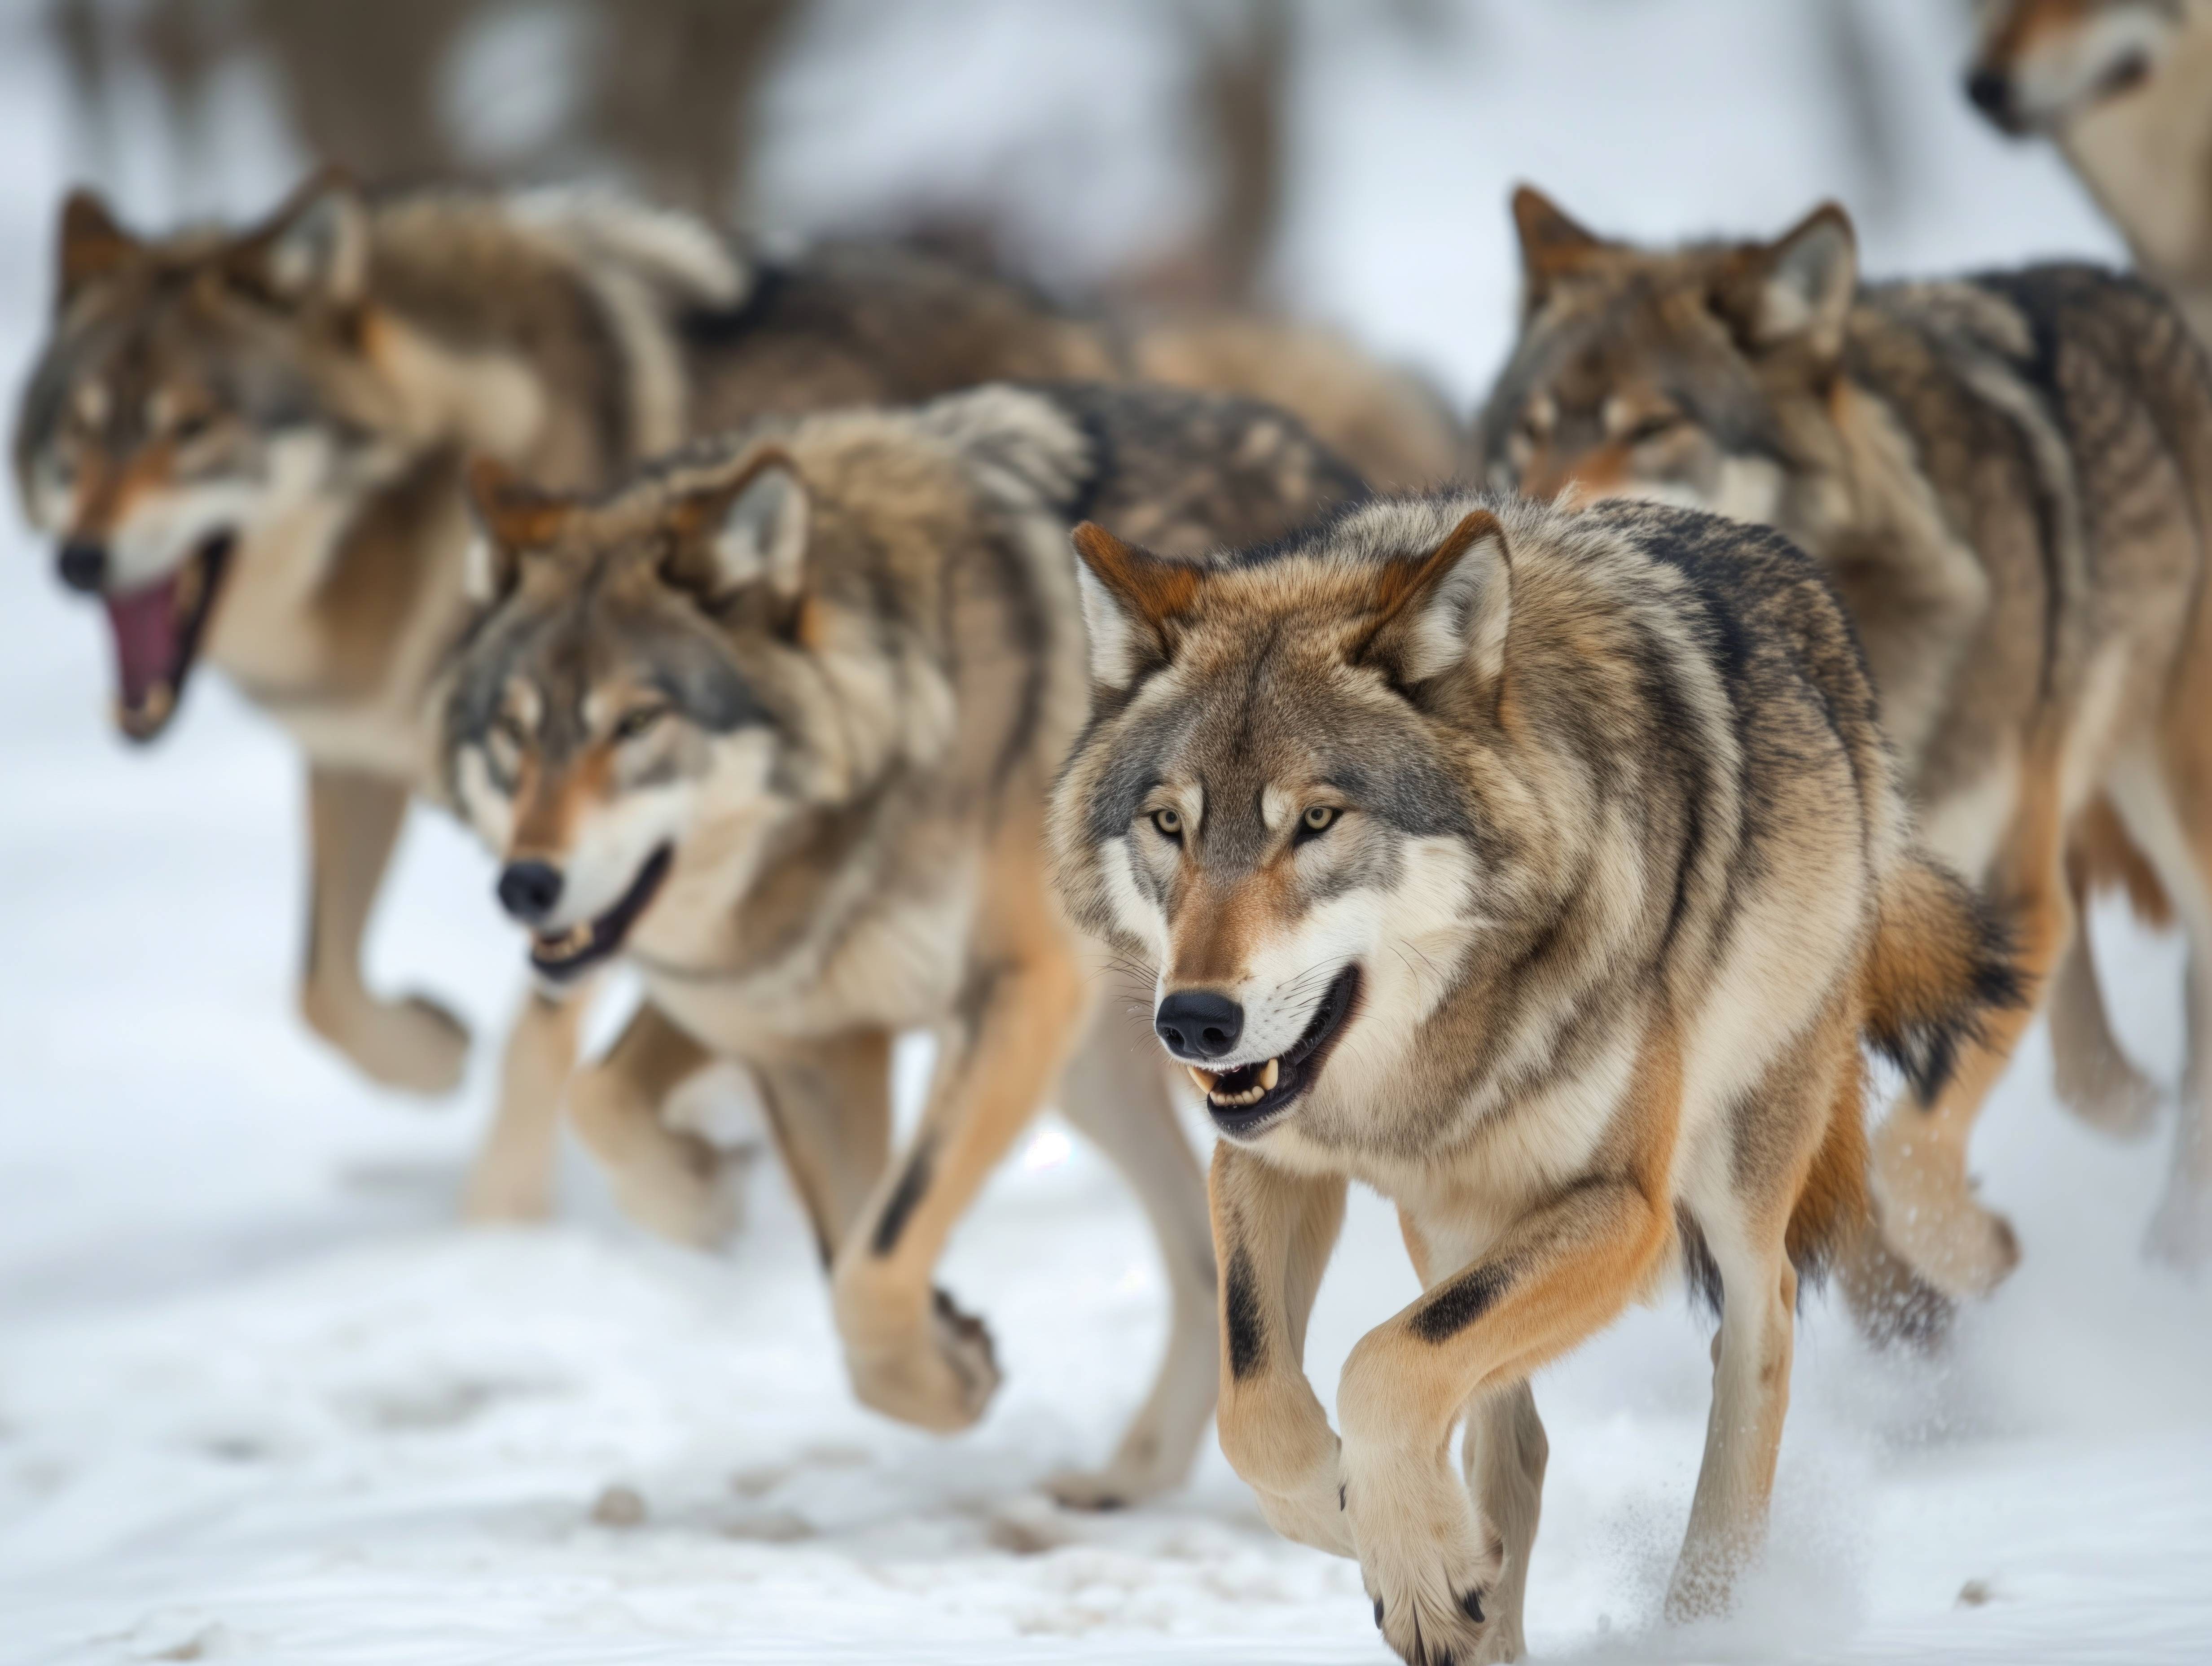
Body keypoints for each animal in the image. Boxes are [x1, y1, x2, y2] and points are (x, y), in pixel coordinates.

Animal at [12, 169, 1457, 1221]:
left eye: (190, 427)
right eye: (78, 434)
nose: (77, 559)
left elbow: (549, 1052)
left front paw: (508, 1221)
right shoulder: (383, 764)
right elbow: (326, 985)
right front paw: (439, 1063)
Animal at [439, 381, 1366, 1500]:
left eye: (637, 722)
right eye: (515, 730)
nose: (524, 884)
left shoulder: (1012, 991)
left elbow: (872, 1265)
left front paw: (943, 1373)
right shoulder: (803, 1036)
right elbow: (788, 1212)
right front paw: (725, 1212)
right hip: (1103, 1071)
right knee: (1200, 1264)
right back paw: (1132, 1481)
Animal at [1047, 490, 2010, 1660]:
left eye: (1316, 819)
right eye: (1169, 824)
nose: (1192, 1021)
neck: (1433, 1053)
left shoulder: (1626, 1207)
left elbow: (1381, 1368)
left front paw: (1403, 1547)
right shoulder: (1267, 1160)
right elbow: (1262, 1403)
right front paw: (1371, 1527)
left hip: (1732, 1176)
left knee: (1759, 1331)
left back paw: (1704, 1620)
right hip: (1455, 1222)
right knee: (1508, 1432)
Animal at [1470, 188, 2212, 1289]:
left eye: (1654, 427)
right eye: (1528, 436)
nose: (1523, 531)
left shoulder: (2000, 895)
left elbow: (1905, 1154)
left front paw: (1969, 1255)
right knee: (2093, 1073)